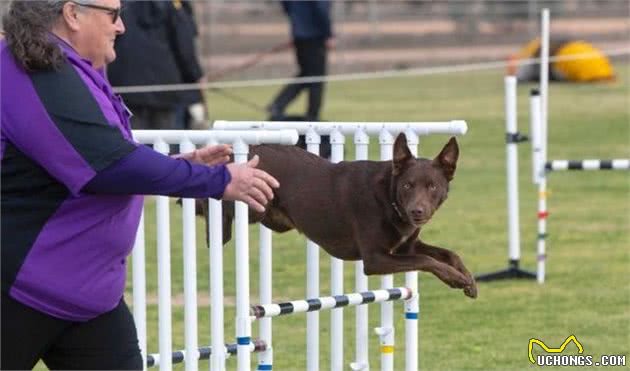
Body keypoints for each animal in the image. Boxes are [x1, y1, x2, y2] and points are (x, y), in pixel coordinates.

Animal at [215, 134, 476, 300]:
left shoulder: (405, 247)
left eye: (432, 186)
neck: (388, 198)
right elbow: (426, 259)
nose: (417, 211)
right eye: (408, 185)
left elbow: (448, 254)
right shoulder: (375, 259)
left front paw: (469, 281)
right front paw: (456, 279)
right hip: (253, 206)